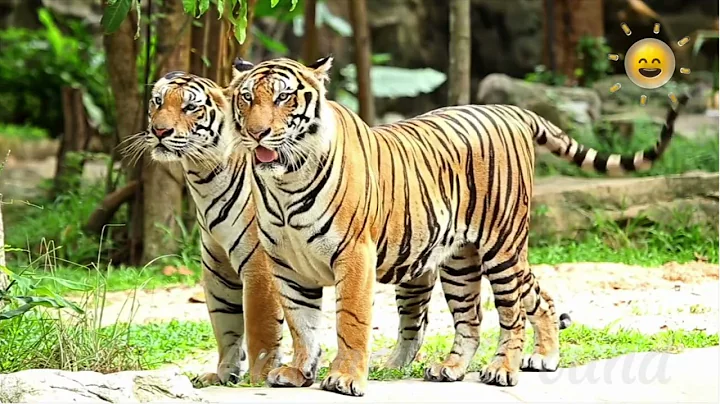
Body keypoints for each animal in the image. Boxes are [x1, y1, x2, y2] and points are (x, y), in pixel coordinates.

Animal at [123, 64, 285, 384]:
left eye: (190, 107)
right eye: (158, 102)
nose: (159, 131)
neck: (204, 177)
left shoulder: (259, 265)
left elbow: (260, 326)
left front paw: (259, 378)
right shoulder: (218, 268)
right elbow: (226, 325)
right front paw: (223, 375)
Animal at [224, 56, 688, 397]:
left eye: (284, 98)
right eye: (246, 98)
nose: (257, 133)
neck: (285, 180)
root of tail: (511, 109)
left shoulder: (354, 254)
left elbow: (350, 320)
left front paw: (344, 378)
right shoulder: (287, 264)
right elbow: (301, 324)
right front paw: (298, 373)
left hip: (502, 247)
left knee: (512, 313)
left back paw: (504, 369)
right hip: (461, 261)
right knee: (490, 313)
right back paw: (474, 365)